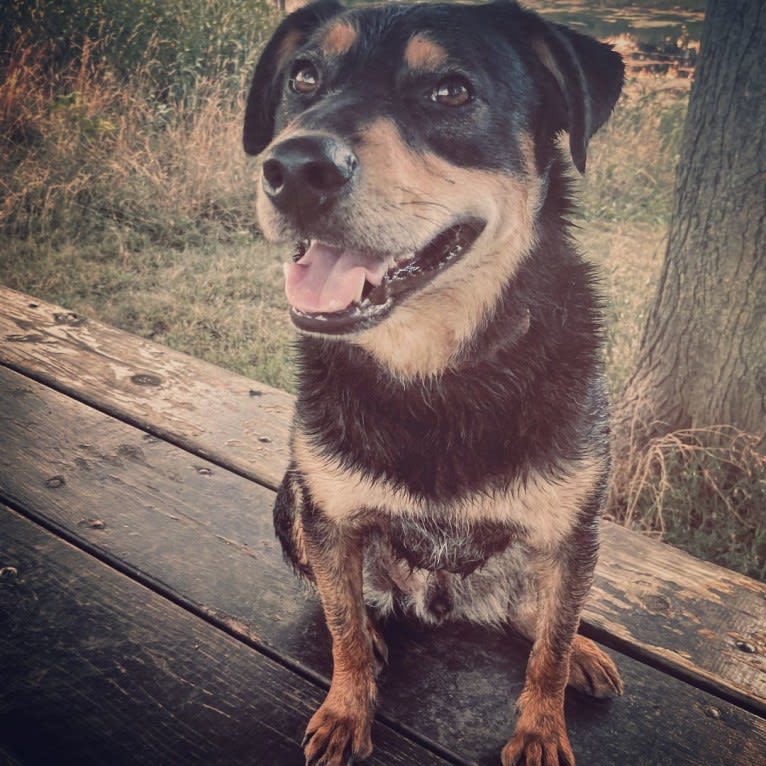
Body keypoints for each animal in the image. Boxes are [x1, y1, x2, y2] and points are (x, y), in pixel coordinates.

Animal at [243, 3, 628, 764]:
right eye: (303, 77)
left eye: (452, 91)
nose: (294, 168)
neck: (434, 371)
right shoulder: (328, 517)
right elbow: (342, 629)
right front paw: (348, 707)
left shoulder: (571, 530)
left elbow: (549, 646)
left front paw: (541, 730)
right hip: (290, 501)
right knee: (346, 604)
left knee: (539, 612)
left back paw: (581, 652)